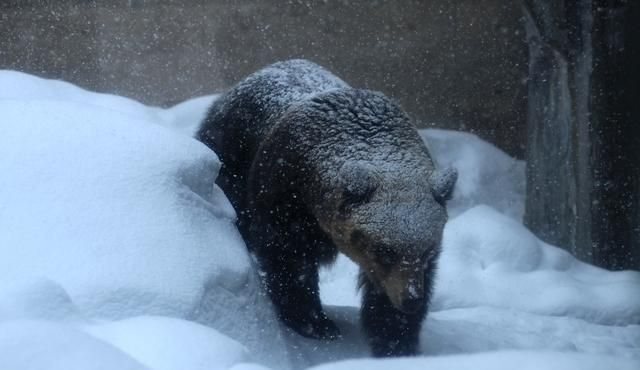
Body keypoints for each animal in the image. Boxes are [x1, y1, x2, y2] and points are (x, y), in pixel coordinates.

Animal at [198, 59, 458, 356]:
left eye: (427, 250)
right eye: (384, 251)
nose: (410, 299)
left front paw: (396, 339)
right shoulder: (282, 194)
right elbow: (289, 261)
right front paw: (314, 322)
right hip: (229, 157)